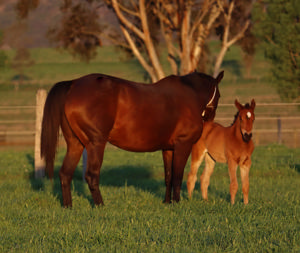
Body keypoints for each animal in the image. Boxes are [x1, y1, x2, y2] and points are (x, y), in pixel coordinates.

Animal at [40, 70, 223, 207]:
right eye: (219, 96)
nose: (210, 121)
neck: (189, 95)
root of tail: (73, 84)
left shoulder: (168, 149)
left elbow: (168, 176)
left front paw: (167, 202)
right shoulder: (183, 145)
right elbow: (177, 176)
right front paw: (177, 203)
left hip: (75, 144)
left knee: (65, 173)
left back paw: (68, 206)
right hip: (96, 144)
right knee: (91, 175)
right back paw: (100, 206)